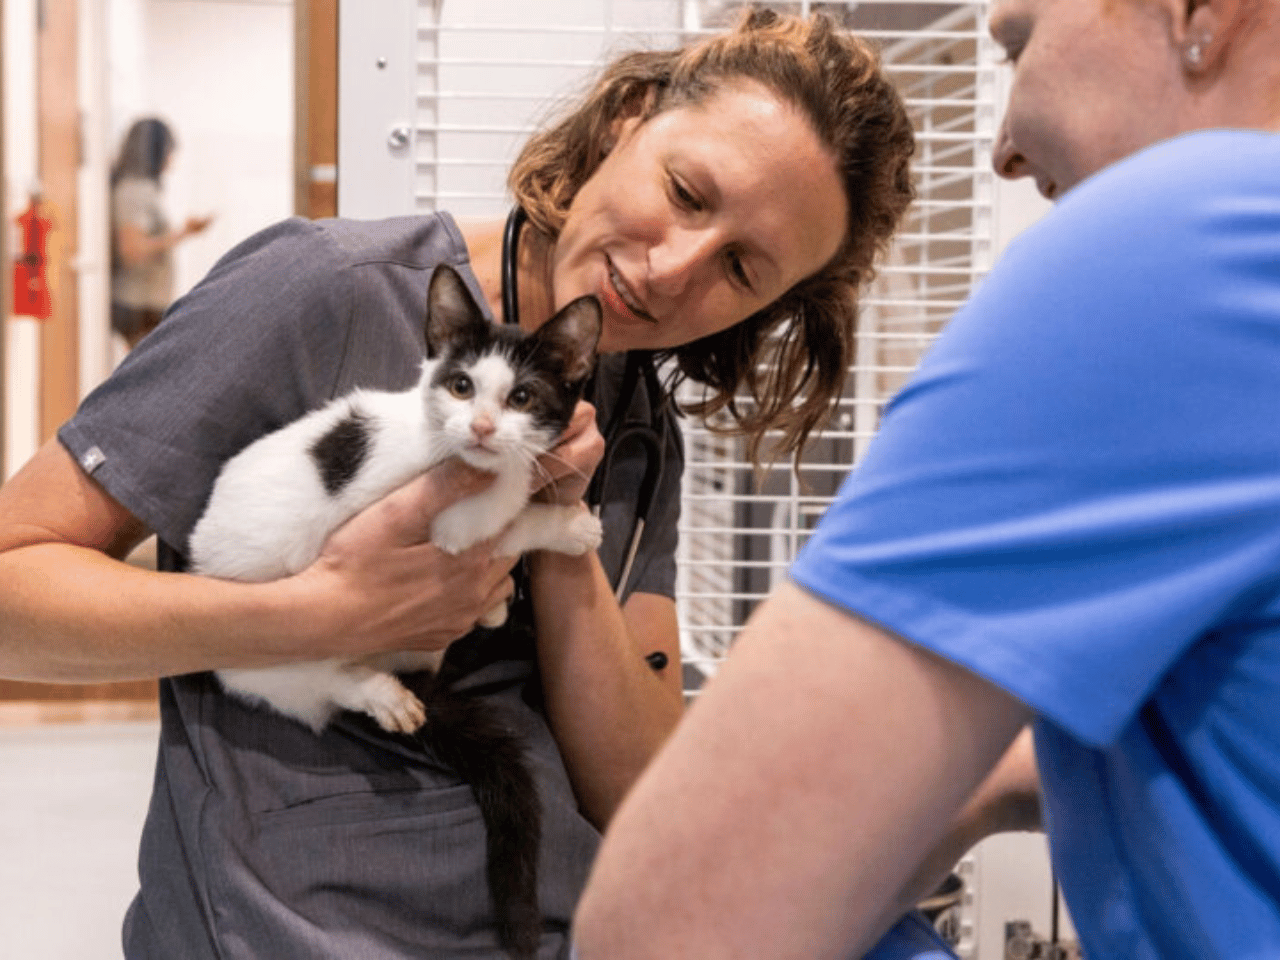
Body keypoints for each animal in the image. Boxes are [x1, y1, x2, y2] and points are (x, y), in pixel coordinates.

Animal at [186, 263, 601, 960]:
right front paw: (564, 526)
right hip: (273, 633)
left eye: (522, 397)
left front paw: (500, 598)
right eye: (461, 386)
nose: (481, 428)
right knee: (316, 677)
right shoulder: (449, 525)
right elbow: (506, 525)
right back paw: (381, 693)